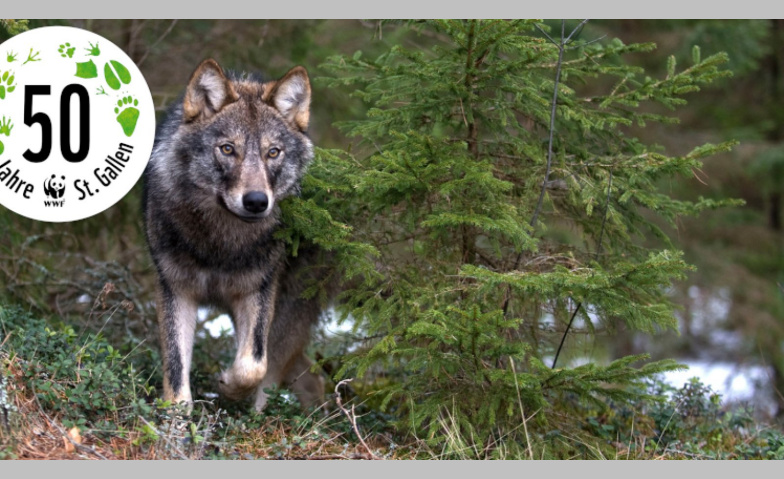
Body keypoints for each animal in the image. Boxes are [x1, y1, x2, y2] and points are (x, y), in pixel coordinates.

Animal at [143, 59, 325, 412]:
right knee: (310, 376)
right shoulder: (175, 288)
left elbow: (253, 364)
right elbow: (175, 367)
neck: (221, 244)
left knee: (279, 374)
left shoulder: (259, 290)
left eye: (273, 153)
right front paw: (176, 419)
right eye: (228, 149)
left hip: (285, 315)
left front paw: (226, 386)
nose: (256, 201)